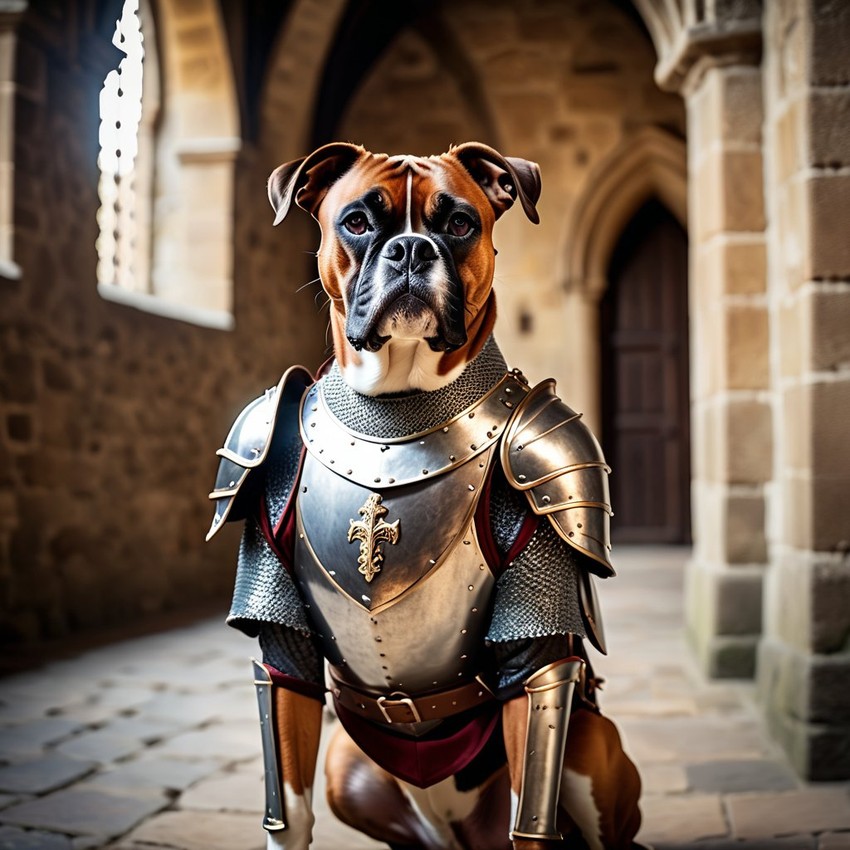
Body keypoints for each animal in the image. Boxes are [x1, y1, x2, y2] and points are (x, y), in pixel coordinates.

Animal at [229, 144, 640, 848]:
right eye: (357, 222)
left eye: (459, 223)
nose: (411, 248)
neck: (396, 412)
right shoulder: (282, 643)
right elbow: (287, 807)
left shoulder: (540, 603)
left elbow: (532, 804)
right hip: (347, 766)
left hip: (589, 751)